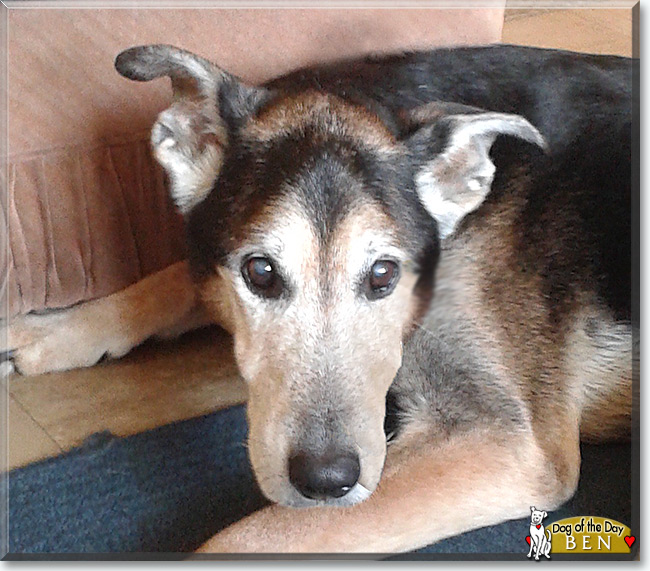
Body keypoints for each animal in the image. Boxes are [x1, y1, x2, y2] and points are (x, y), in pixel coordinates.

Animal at [6, 44, 632, 556]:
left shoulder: (505, 438)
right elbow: (173, 277)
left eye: (384, 274)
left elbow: (246, 538)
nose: (326, 480)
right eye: (260, 272)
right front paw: (50, 332)